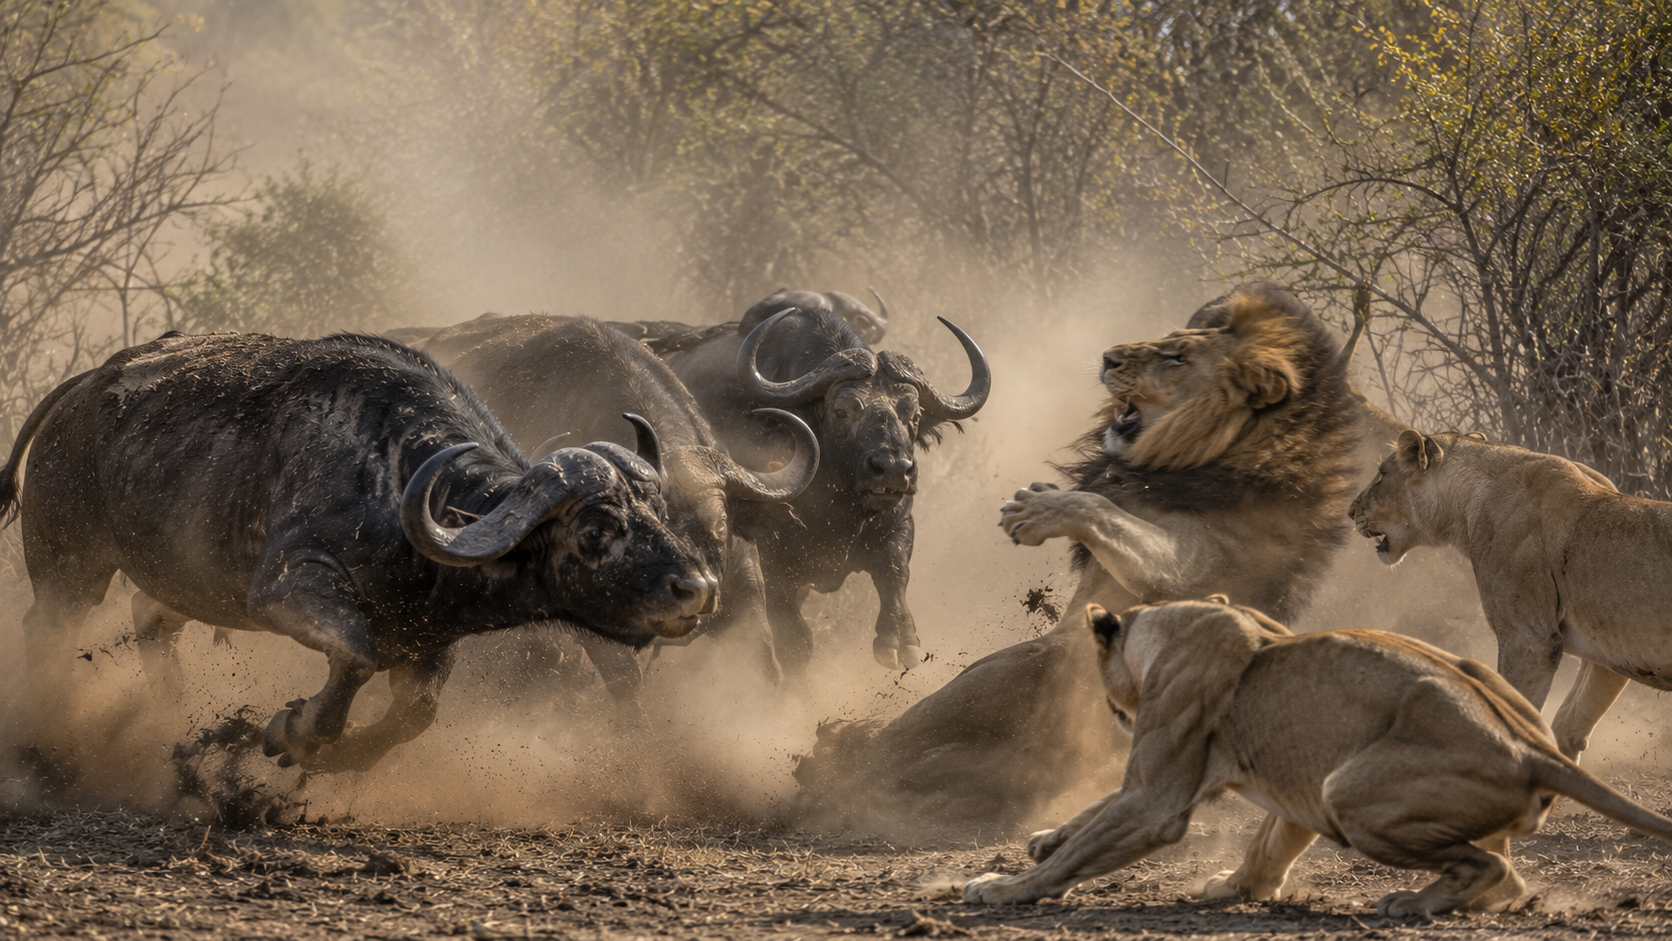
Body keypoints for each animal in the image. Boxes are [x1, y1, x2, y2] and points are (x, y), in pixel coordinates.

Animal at [0, 333, 711, 773]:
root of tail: (85, 386)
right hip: (70, 565)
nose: (697, 590)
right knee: (47, 629)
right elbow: (355, 654)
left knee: (151, 624)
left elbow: (415, 715)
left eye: (659, 513)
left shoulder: (427, 642)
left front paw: (321, 754)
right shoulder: (288, 586)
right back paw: (43, 733)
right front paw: (293, 730)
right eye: (595, 530)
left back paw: (168, 713)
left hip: (173, 579)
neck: (399, 492)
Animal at [792, 283, 1359, 829]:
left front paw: (1036, 507)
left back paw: (827, 759)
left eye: (1177, 357)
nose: (1109, 357)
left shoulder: (1190, 567)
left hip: (992, 673)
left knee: (877, 757)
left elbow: (1104, 512)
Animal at [963, 600, 1672, 916]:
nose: (1112, 709)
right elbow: (1263, 844)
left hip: (1348, 791)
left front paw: (1004, 886)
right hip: (1356, 778)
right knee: (1510, 878)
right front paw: (1236, 888)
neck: (1173, 622)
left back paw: (1411, 902)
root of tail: (1533, 748)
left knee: (1488, 867)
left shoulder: (1158, 797)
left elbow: (1094, 838)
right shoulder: (1294, 784)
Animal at [1350, 429, 1672, 765]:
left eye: (1382, 473)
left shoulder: (1530, 641)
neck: (1467, 506)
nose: (1350, 511)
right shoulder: (1615, 649)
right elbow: (1568, 727)